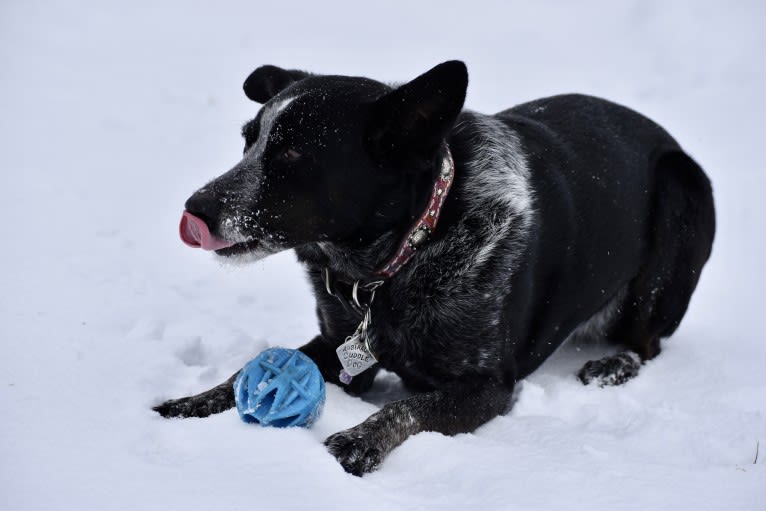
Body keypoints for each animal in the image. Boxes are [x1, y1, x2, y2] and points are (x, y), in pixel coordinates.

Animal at [153, 62, 716, 478]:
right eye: (248, 140)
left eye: (293, 153)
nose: (194, 209)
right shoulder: (338, 346)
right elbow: (242, 373)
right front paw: (189, 404)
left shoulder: (490, 385)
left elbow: (409, 408)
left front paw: (358, 441)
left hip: (680, 198)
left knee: (649, 343)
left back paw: (613, 364)